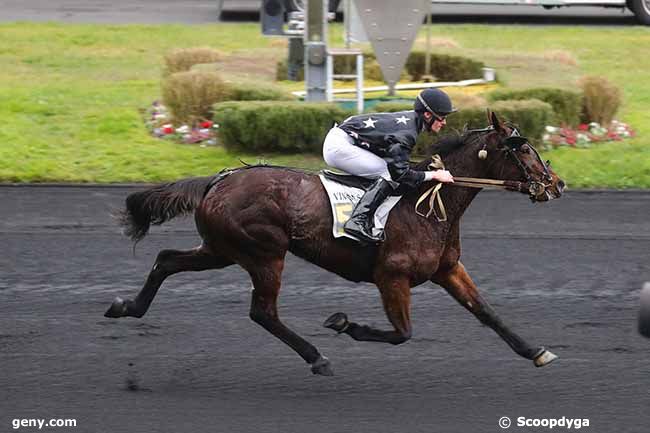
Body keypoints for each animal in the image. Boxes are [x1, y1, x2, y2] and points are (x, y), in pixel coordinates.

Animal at [105, 111, 560, 374]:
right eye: (521, 148)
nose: (556, 183)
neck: (431, 204)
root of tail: (219, 180)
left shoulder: (447, 269)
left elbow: (486, 311)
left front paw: (535, 350)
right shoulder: (391, 276)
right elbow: (402, 333)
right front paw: (344, 324)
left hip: (222, 249)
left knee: (166, 259)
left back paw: (125, 306)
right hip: (264, 253)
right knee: (262, 312)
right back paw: (317, 357)